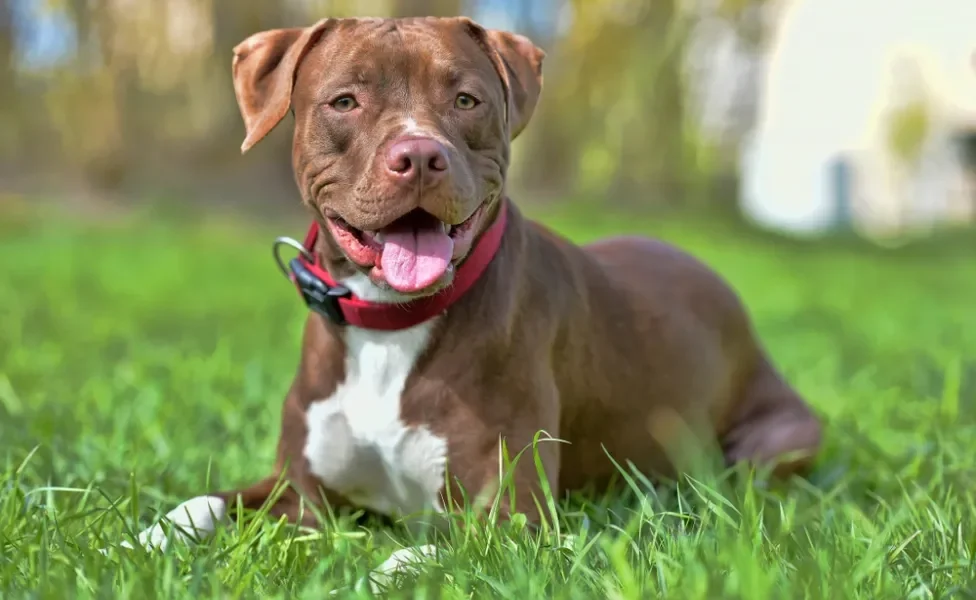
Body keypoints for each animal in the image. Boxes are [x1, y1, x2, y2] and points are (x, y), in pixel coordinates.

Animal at [116, 15, 824, 552]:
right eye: (345, 101)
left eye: (465, 100)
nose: (419, 155)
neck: (391, 326)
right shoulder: (301, 493)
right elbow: (203, 502)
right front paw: (138, 540)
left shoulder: (511, 512)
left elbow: (428, 554)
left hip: (778, 439)